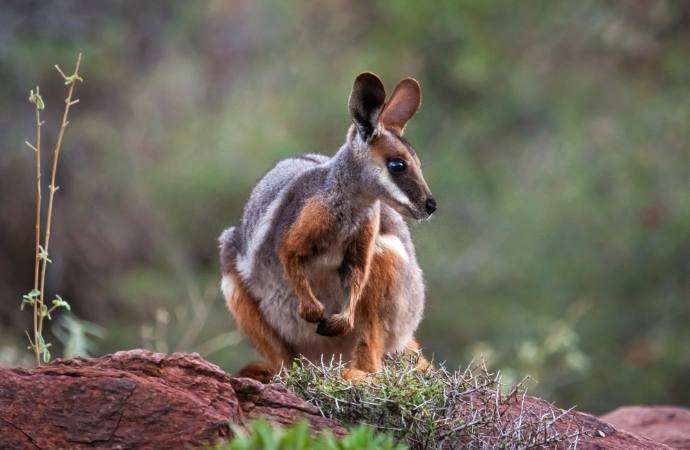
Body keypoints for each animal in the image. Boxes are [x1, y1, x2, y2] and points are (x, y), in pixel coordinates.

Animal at [219, 72, 436, 382]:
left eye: (418, 163)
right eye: (398, 164)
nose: (431, 206)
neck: (353, 203)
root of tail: (325, 357)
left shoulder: (365, 235)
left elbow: (357, 272)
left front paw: (337, 320)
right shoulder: (296, 229)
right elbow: (289, 255)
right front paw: (313, 310)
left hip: (391, 272)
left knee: (371, 353)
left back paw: (353, 373)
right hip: (234, 279)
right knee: (285, 360)